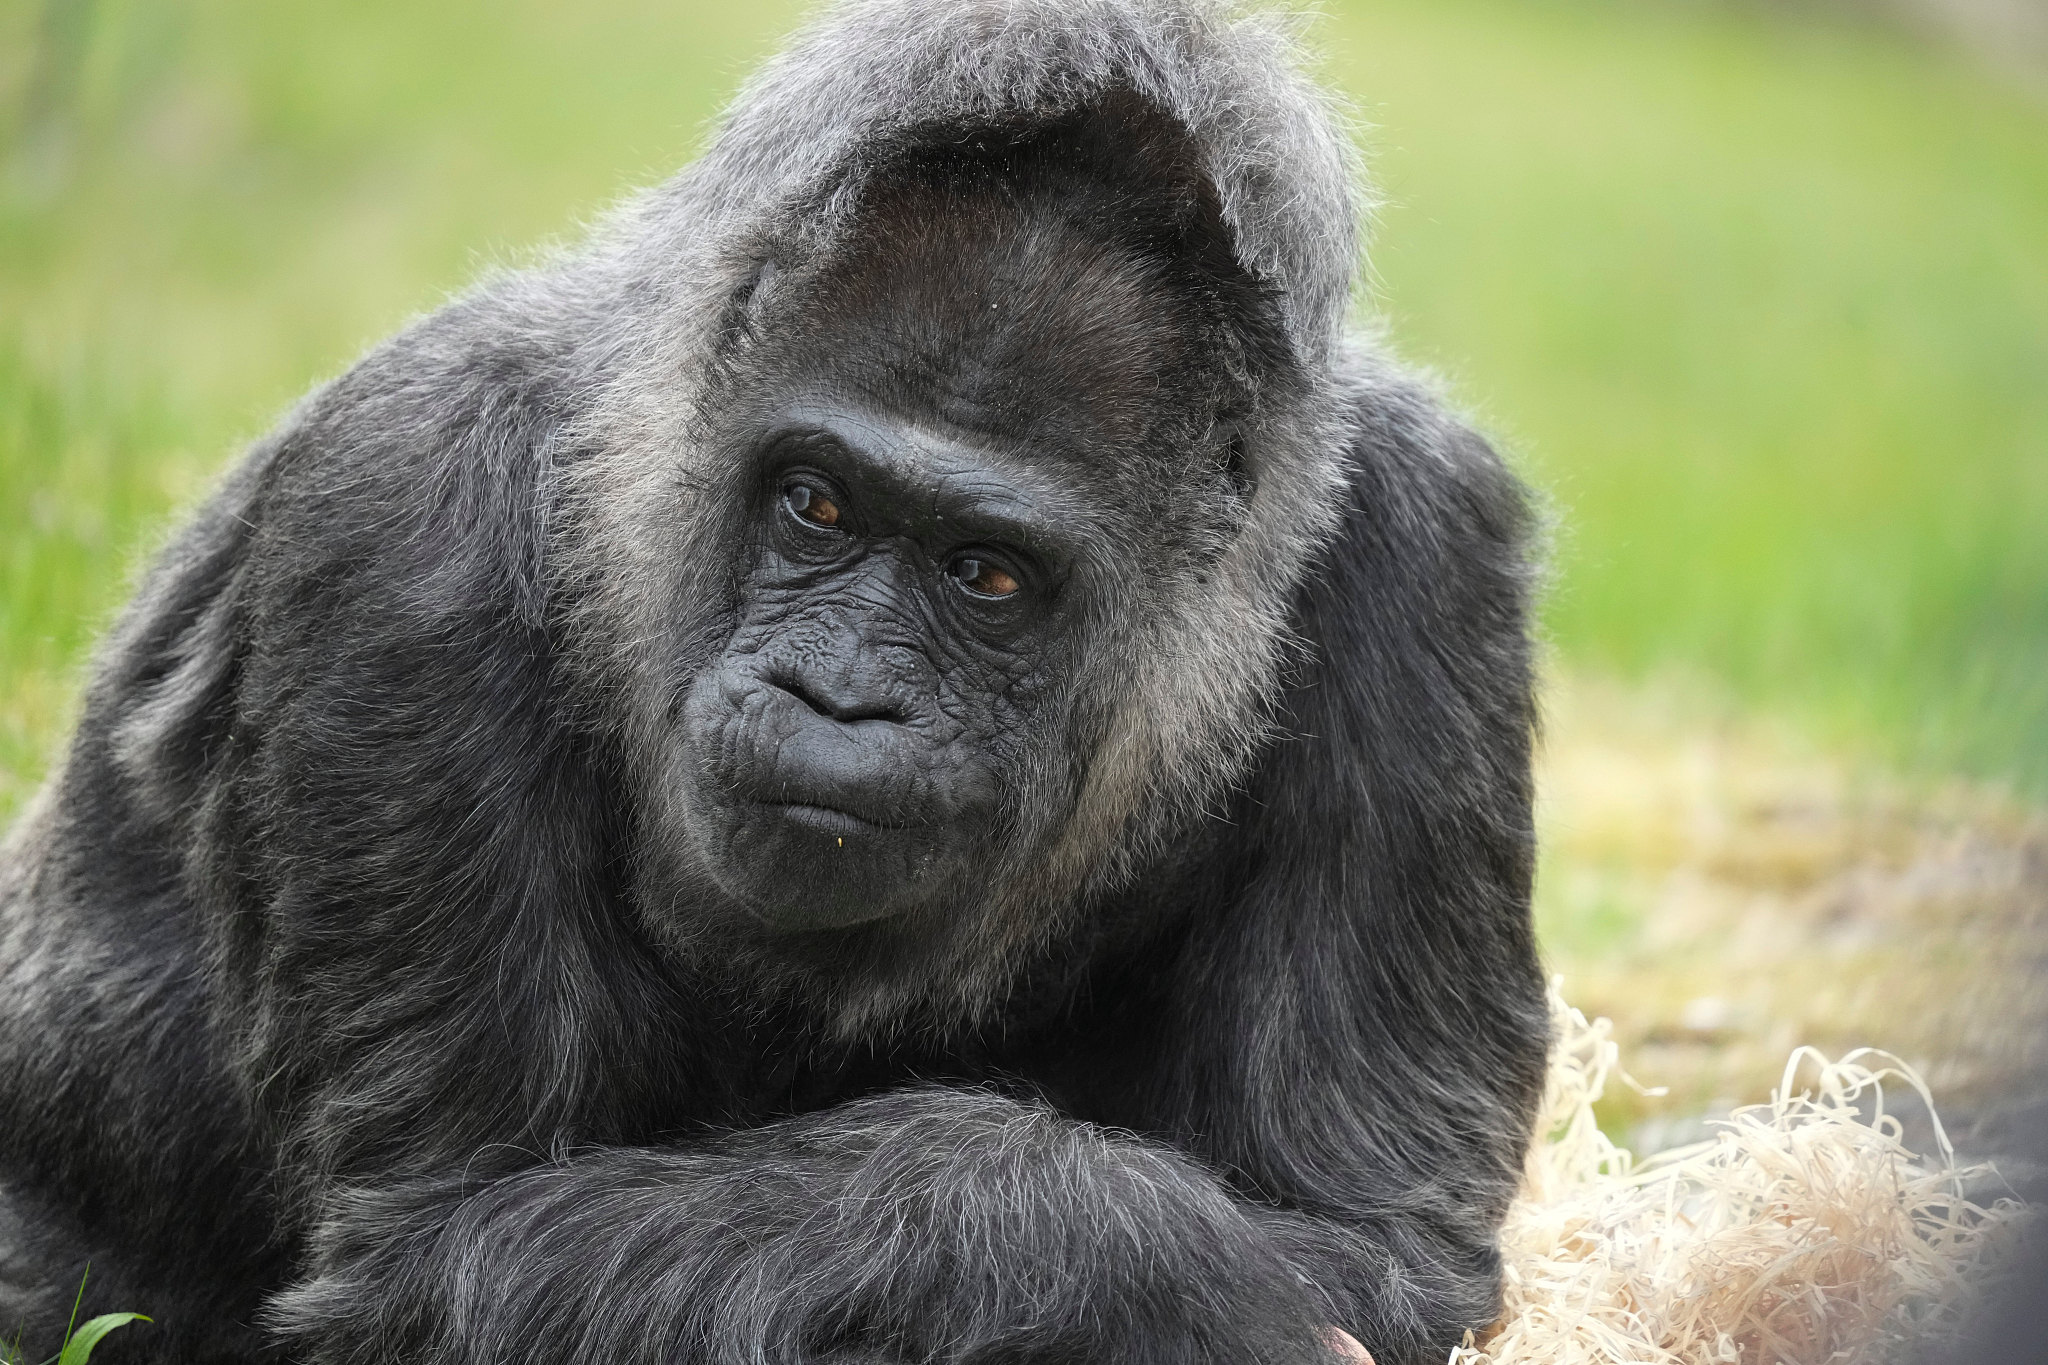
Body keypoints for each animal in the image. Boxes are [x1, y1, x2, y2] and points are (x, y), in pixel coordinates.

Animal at [0, 2, 1548, 1363]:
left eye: (987, 577)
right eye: (815, 504)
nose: (838, 697)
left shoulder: (1435, 558)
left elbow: (1370, 1242)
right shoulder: (395, 512)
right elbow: (438, 1242)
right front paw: (1122, 1251)